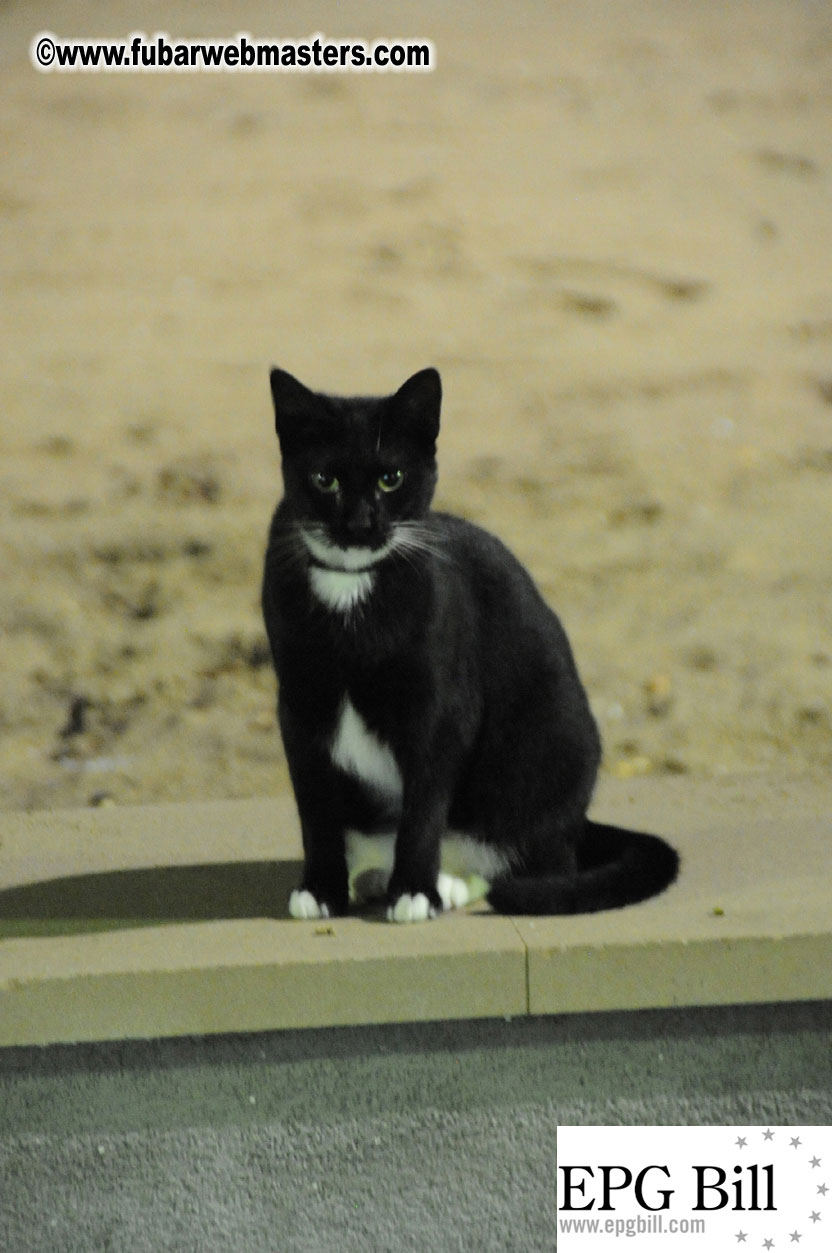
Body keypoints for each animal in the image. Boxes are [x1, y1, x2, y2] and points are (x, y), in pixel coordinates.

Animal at [263, 363, 681, 922]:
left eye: (391, 478)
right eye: (324, 479)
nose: (360, 523)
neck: (350, 594)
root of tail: (578, 822)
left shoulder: (440, 708)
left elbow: (423, 809)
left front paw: (416, 891)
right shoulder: (299, 705)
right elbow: (315, 808)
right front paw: (321, 887)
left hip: (548, 754)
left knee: (541, 862)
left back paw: (451, 884)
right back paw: (371, 877)